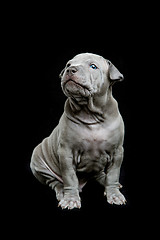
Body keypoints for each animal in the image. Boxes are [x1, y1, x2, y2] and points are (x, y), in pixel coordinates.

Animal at [30, 52, 127, 208]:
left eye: (93, 66)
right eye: (68, 65)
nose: (71, 70)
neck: (90, 114)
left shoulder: (117, 152)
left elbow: (113, 175)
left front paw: (114, 194)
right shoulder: (66, 153)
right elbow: (70, 177)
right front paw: (70, 199)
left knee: (100, 174)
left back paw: (108, 183)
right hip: (39, 162)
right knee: (54, 182)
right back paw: (61, 192)